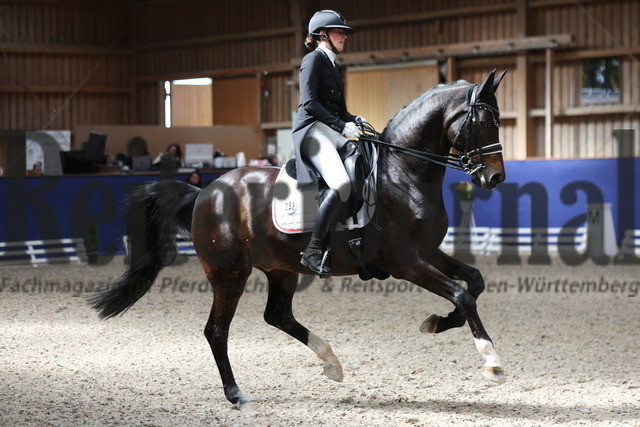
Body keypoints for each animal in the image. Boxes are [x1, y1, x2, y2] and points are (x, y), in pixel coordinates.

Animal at [91, 68, 510, 406]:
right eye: (484, 121)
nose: (495, 178)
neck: (403, 172)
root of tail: (204, 192)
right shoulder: (406, 262)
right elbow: (462, 294)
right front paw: (491, 362)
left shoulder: (427, 253)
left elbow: (474, 283)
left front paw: (437, 323)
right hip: (229, 275)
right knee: (217, 331)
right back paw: (237, 394)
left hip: (280, 269)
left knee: (277, 315)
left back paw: (332, 364)